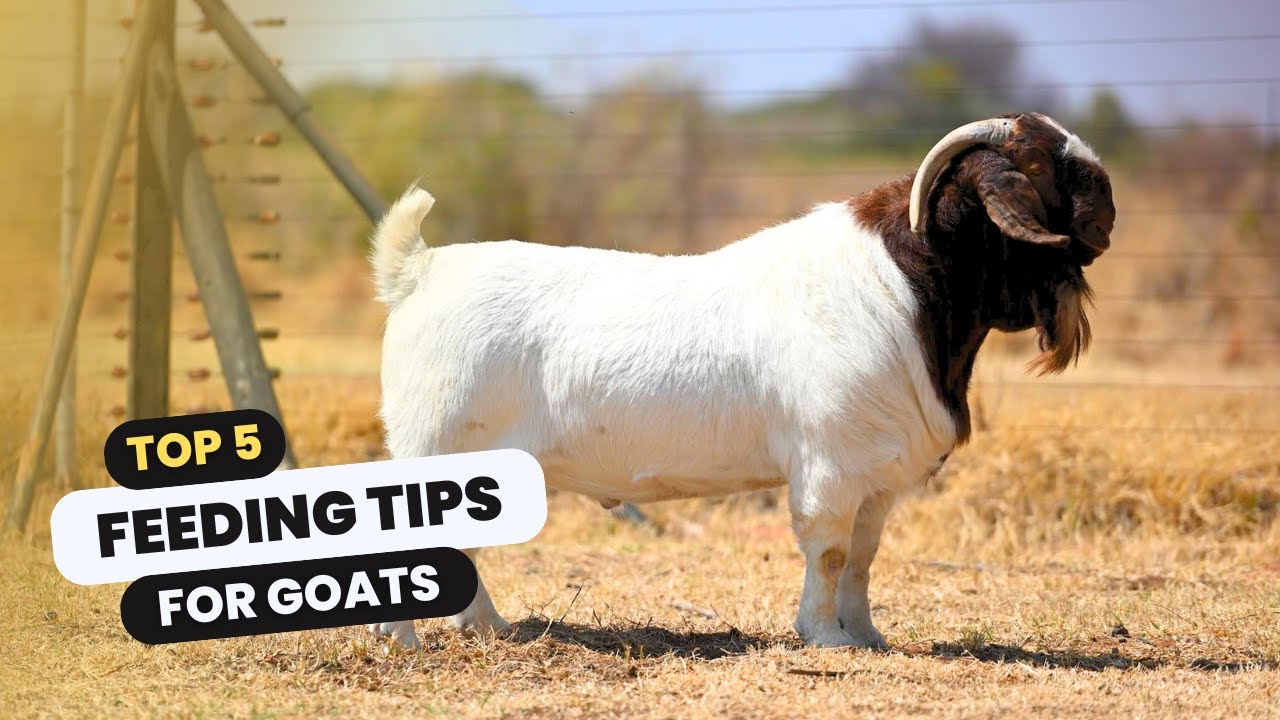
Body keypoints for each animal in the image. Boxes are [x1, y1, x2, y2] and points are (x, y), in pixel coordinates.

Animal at [367, 112, 1115, 650]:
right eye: (1042, 163)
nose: (1108, 216)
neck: (901, 282)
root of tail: (419, 270)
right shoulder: (827, 463)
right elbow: (829, 550)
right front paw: (825, 638)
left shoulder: (877, 475)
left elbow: (864, 556)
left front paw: (868, 635)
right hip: (433, 446)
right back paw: (404, 641)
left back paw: (487, 628)